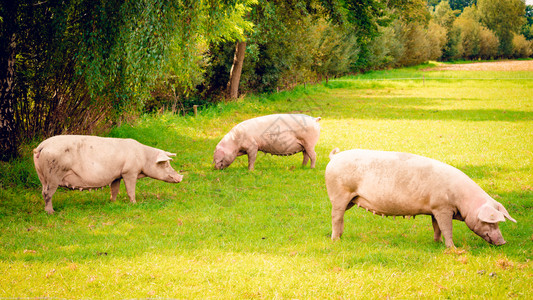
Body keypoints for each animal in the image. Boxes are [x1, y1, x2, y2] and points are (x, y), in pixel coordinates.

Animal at [33, 135, 184, 214]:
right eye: (165, 164)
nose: (180, 178)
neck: (143, 157)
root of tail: (41, 146)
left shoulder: (117, 175)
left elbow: (114, 189)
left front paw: (113, 202)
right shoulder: (130, 172)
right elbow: (130, 190)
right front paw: (134, 204)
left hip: (42, 175)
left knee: (43, 191)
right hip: (53, 174)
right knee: (47, 193)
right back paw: (51, 212)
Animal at [324, 148, 516, 248]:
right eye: (491, 222)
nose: (503, 242)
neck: (463, 200)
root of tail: (334, 157)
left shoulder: (435, 209)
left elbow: (437, 227)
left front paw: (437, 243)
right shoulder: (443, 207)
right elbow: (447, 228)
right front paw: (452, 248)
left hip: (350, 199)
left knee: (341, 217)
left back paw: (341, 236)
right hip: (339, 194)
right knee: (335, 216)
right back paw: (335, 240)